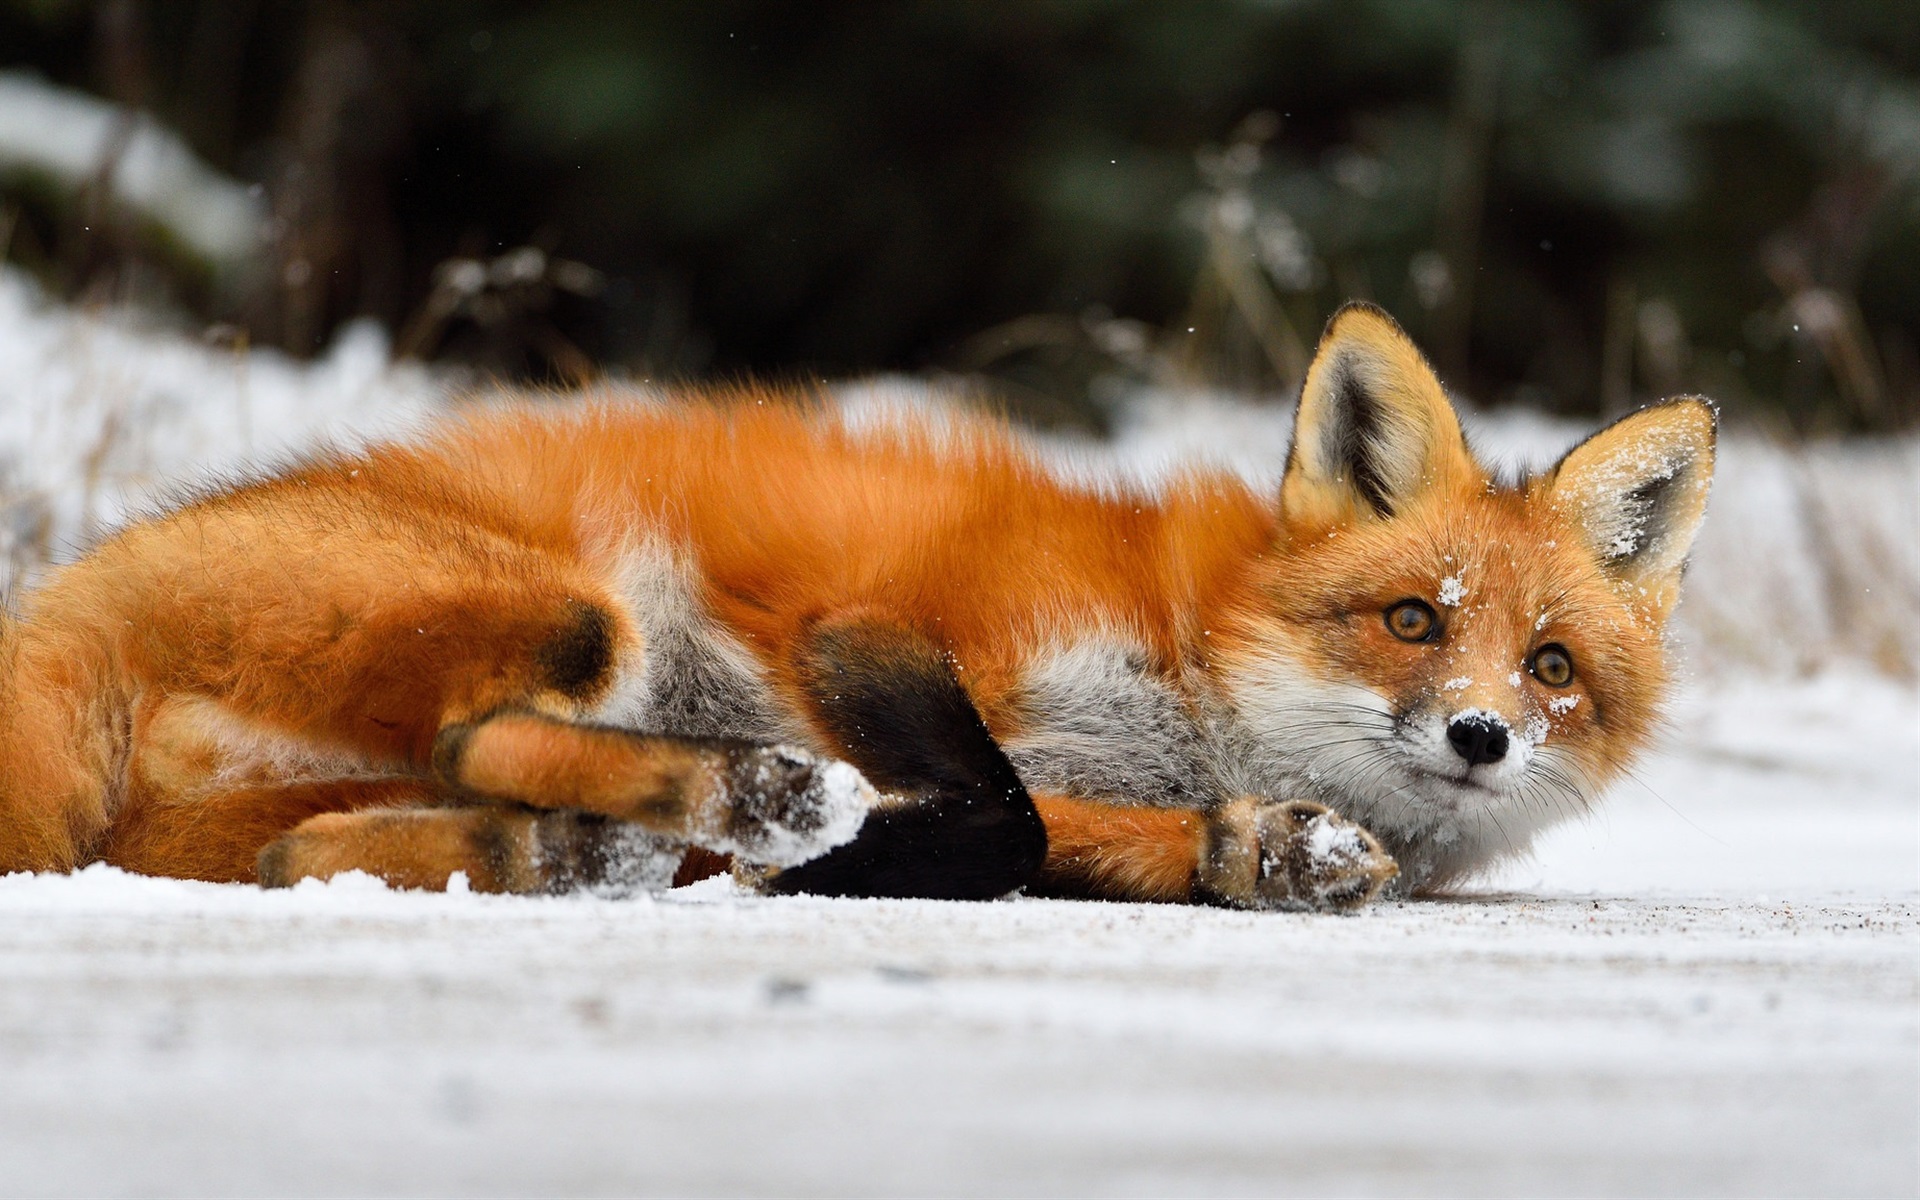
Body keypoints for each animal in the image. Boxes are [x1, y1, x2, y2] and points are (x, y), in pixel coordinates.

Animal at [0, 307, 1712, 906]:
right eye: (1413, 623)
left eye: (1551, 664)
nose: (1483, 736)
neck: (1193, 669)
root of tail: (69, 590)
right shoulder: (881, 631)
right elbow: (1007, 812)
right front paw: (842, 849)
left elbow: (1071, 829)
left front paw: (1261, 852)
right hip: (579, 618)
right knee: (483, 739)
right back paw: (725, 811)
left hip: (280, 795)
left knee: (299, 852)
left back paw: (572, 852)